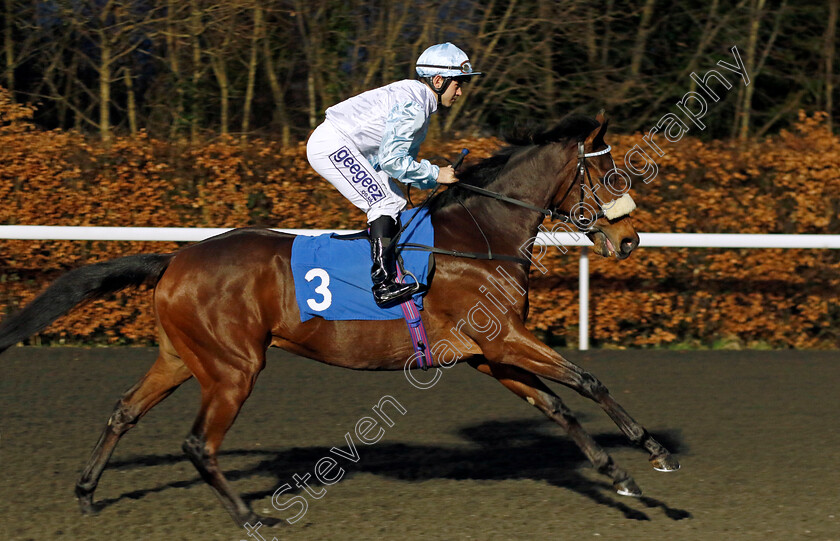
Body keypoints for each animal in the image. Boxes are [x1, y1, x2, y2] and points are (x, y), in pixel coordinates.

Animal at [0, 113, 676, 524]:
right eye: (606, 170)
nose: (631, 239)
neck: (481, 235)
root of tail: (176, 258)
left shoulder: (488, 353)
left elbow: (558, 405)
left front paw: (620, 475)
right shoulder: (505, 338)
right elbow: (587, 380)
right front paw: (652, 451)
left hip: (181, 356)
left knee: (123, 411)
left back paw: (87, 493)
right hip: (234, 367)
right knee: (198, 443)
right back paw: (248, 515)